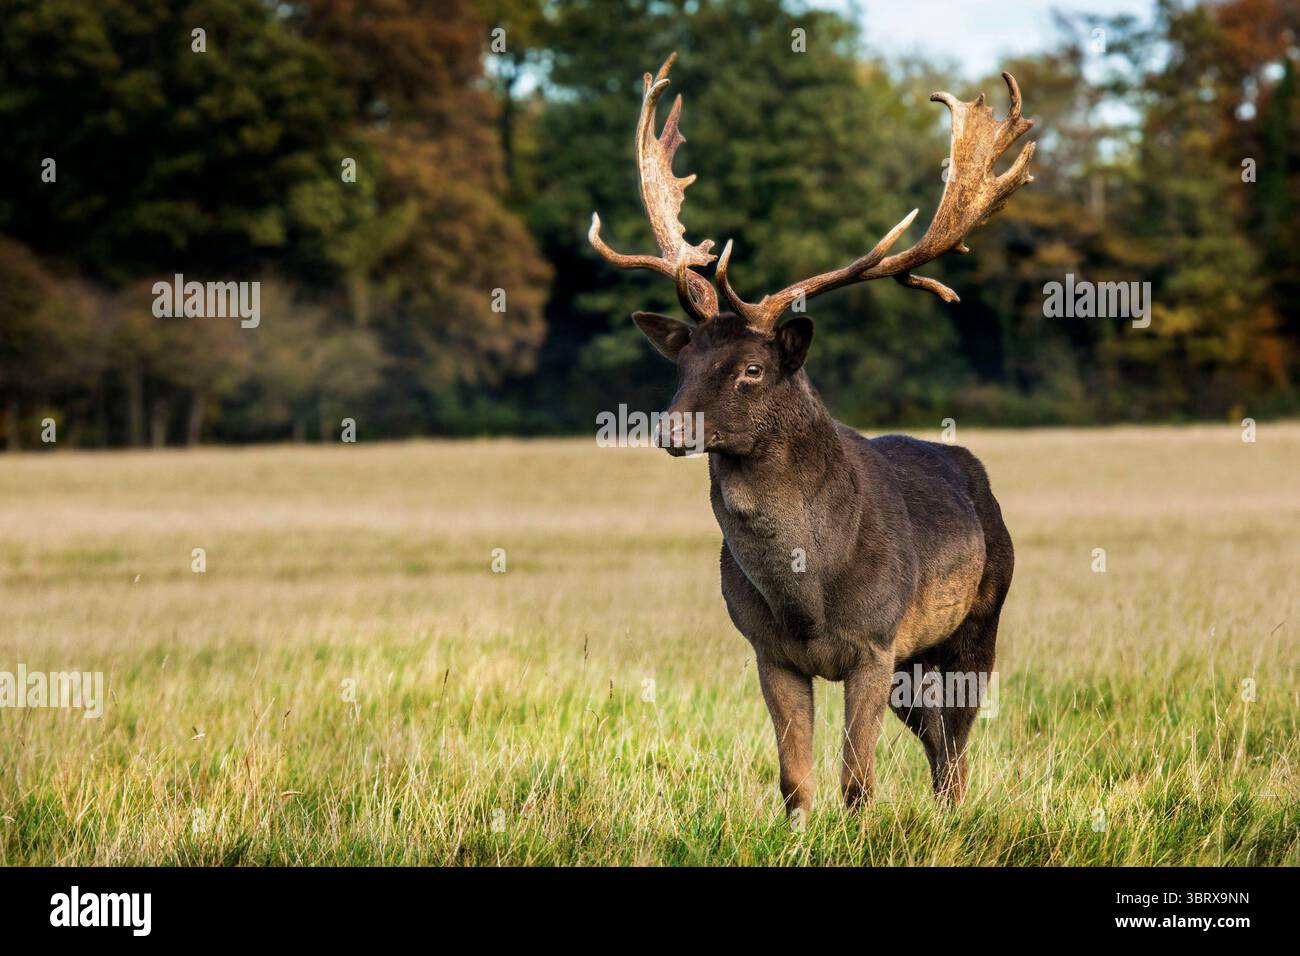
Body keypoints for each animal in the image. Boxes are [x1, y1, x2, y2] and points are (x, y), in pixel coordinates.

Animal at [589, 53, 1033, 819]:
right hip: (915, 662)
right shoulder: (768, 651)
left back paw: (953, 816)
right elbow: (795, 777)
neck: (810, 595)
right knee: (935, 739)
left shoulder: (876, 641)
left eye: (753, 369)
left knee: (956, 745)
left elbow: (857, 781)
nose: (670, 426)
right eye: (683, 362)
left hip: (978, 619)